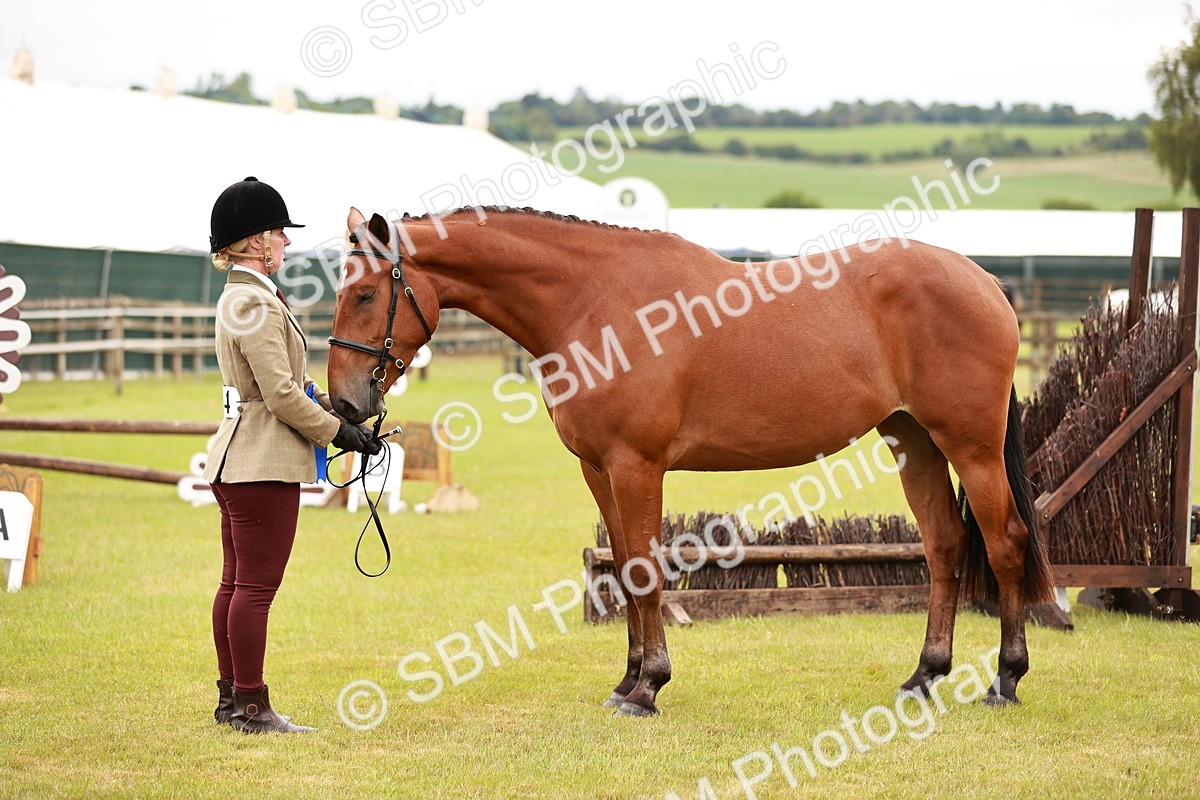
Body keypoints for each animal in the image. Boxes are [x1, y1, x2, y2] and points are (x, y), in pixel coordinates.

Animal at [326, 206, 1054, 717]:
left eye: (364, 294)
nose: (343, 402)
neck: (595, 300)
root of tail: (986, 281)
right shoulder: (599, 469)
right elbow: (624, 568)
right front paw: (626, 680)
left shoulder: (637, 464)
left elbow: (647, 569)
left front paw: (649, 687)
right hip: (914, 440)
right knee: (945, 544)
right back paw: (925, 674)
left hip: (970, 446)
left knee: (1006, 542)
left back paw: (1006, 679)